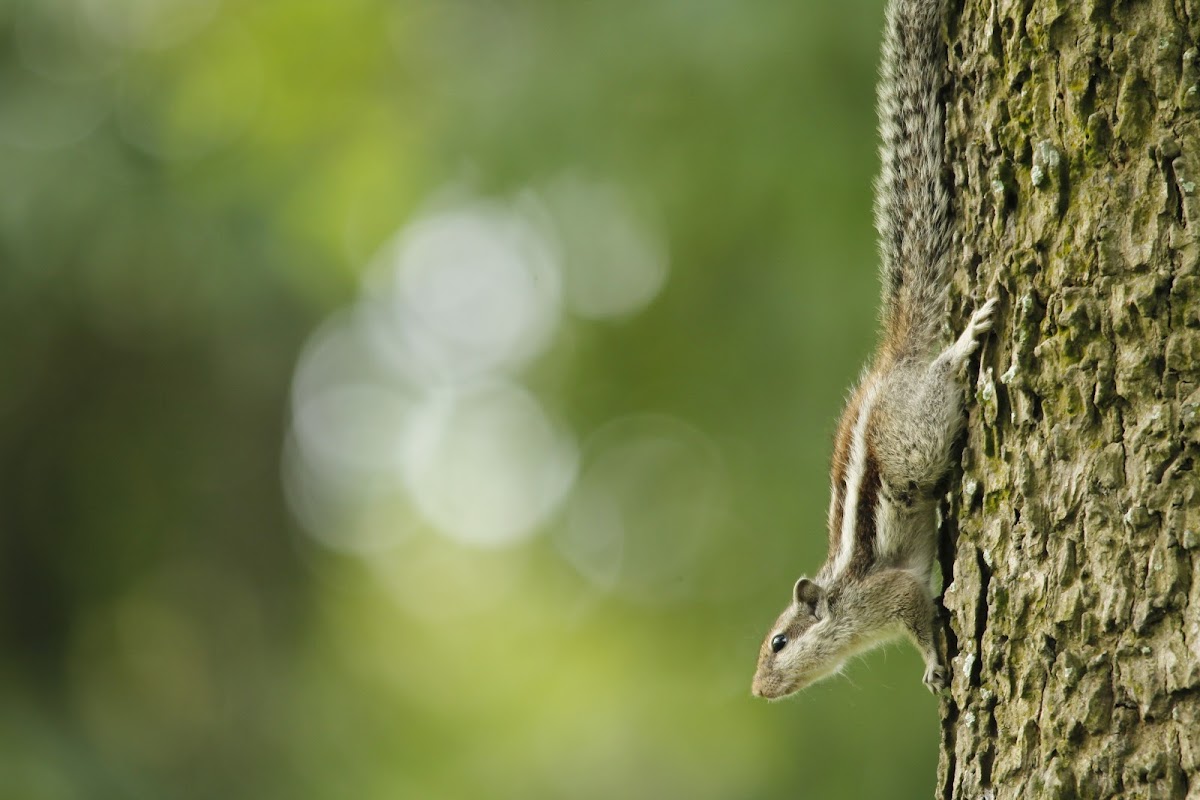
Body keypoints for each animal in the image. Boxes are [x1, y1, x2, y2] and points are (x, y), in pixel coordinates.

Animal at [748, 0, 993, 700]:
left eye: (779, 642)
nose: (759, 688)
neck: (844, 600)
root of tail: (893, 361)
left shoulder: (890, 593)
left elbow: (920, 613)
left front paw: (935, 664)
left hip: (916, 429)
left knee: (942, 378)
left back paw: (962, 344)